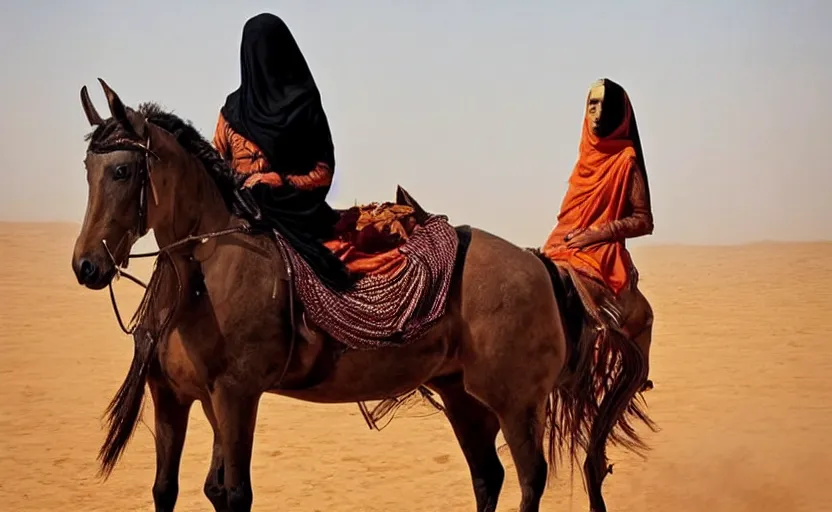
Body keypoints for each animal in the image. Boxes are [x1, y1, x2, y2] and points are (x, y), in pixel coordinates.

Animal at [71, 80, 652, 512]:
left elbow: (234, 494)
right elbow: (173, 489)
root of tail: (538, 262)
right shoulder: (174, 396)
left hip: (515, 399)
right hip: (462, 393)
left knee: (531, 477)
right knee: (488, 476)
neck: (207, 270)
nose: (87, 266)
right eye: (88, 170)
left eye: (122, 169)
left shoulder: (236, 395)